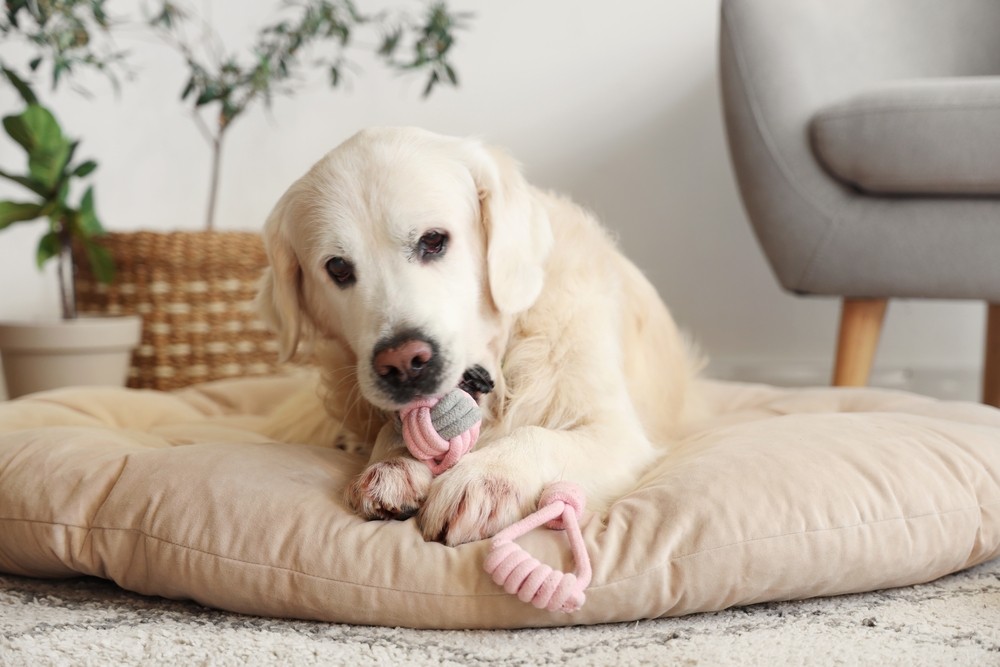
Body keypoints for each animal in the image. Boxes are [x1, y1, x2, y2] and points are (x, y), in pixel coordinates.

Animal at [256, 128, 704, 544]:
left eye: (433, 240)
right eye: (337, 268)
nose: (403, 364)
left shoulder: (619, 433)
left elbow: (539, 435)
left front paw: (486, 477)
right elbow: (393, 431)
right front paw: (392, 465)